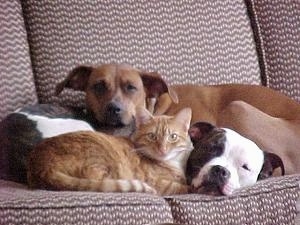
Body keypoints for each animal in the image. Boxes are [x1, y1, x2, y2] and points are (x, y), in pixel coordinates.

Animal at [27, 108, 192, 194]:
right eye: (152, 136)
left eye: (173, 137)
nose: (162, 149)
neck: (173, 164)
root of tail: (41, 166)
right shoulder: (156, 183)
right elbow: (181, 187)